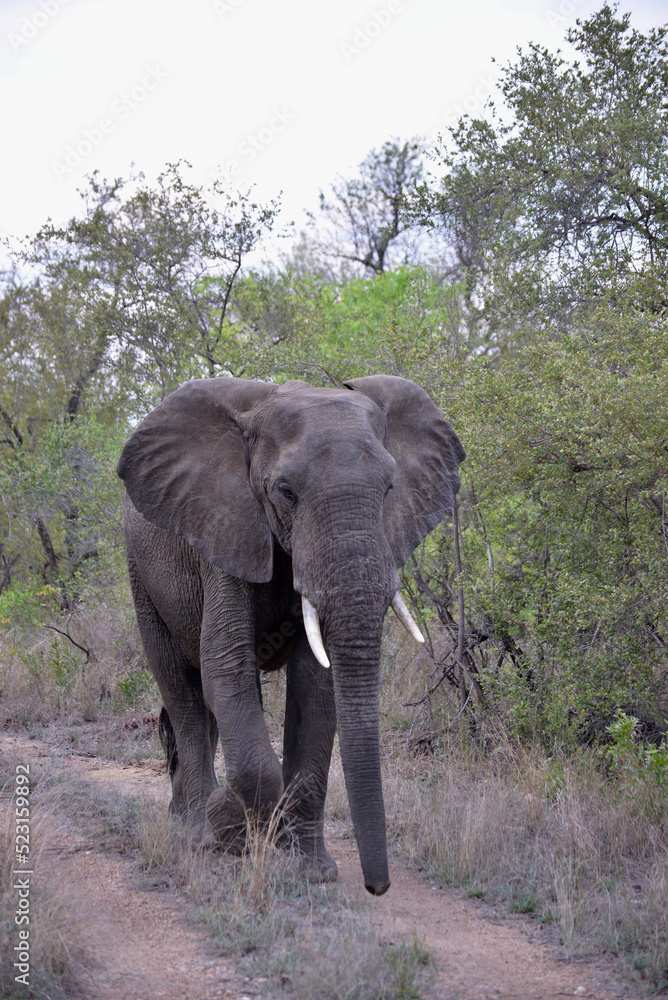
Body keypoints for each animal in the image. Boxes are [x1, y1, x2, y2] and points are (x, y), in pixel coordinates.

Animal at [116, 372, 464, 896]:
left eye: (389, 488)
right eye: (285, 491)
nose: (377, 887)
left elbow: (315, 689)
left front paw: (309, 870)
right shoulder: (226, 531)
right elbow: (227, 668)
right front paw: (229, 826)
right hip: (142, 572)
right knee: (182, 689)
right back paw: (197, 832)